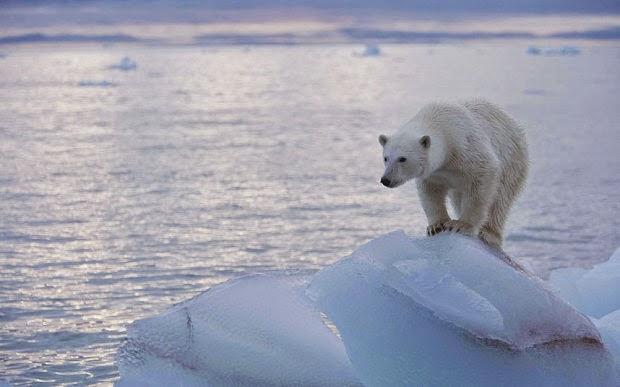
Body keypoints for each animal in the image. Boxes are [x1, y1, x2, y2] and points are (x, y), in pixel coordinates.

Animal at [378, 100, 528, 249]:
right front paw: (436, 226)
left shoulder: (467, 147)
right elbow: (430, 192)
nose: (386, 180)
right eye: (386, 158)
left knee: (500, 200)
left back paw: (489, 234)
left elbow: (483, 178)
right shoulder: (435, 173)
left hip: (512, 161)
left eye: (402, 158)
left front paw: (461, 225)